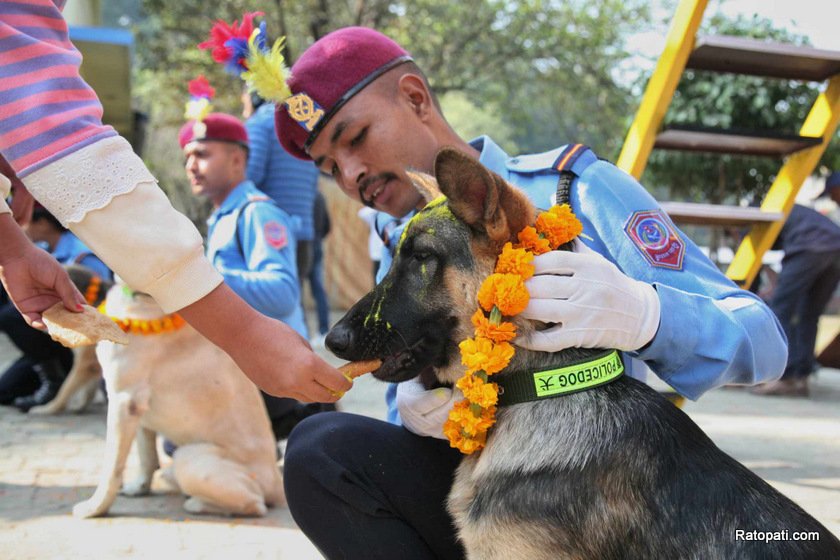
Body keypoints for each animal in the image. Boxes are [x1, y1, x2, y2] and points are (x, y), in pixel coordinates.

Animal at [73, 282, 282, 520]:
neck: (144, 298)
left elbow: (112, 468)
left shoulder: (124, 400)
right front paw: (140, 487)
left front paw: (95, 508)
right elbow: (146, 455)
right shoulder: (139, 411)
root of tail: (277, 484)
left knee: (255, 504)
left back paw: (195, 503)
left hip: (187, 457)